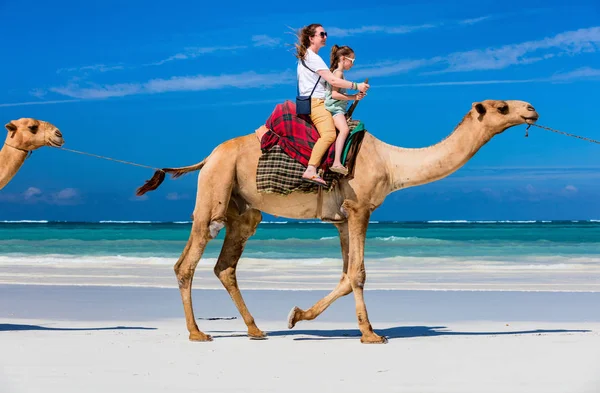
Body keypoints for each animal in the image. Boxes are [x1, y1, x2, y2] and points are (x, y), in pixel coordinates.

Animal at [136, 99, 540, 342]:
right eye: (502, 106)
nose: (532, 109)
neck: (392, 163)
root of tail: (206, 157)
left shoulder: (343, 218)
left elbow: (346, 275)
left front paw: (297, 315)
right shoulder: (361, 208)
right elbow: (358, 273)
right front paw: (371, 335)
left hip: (244, 209)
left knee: (226, 265)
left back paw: (255, 329)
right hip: (215, 189)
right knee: (188, 260)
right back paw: (196, 333)